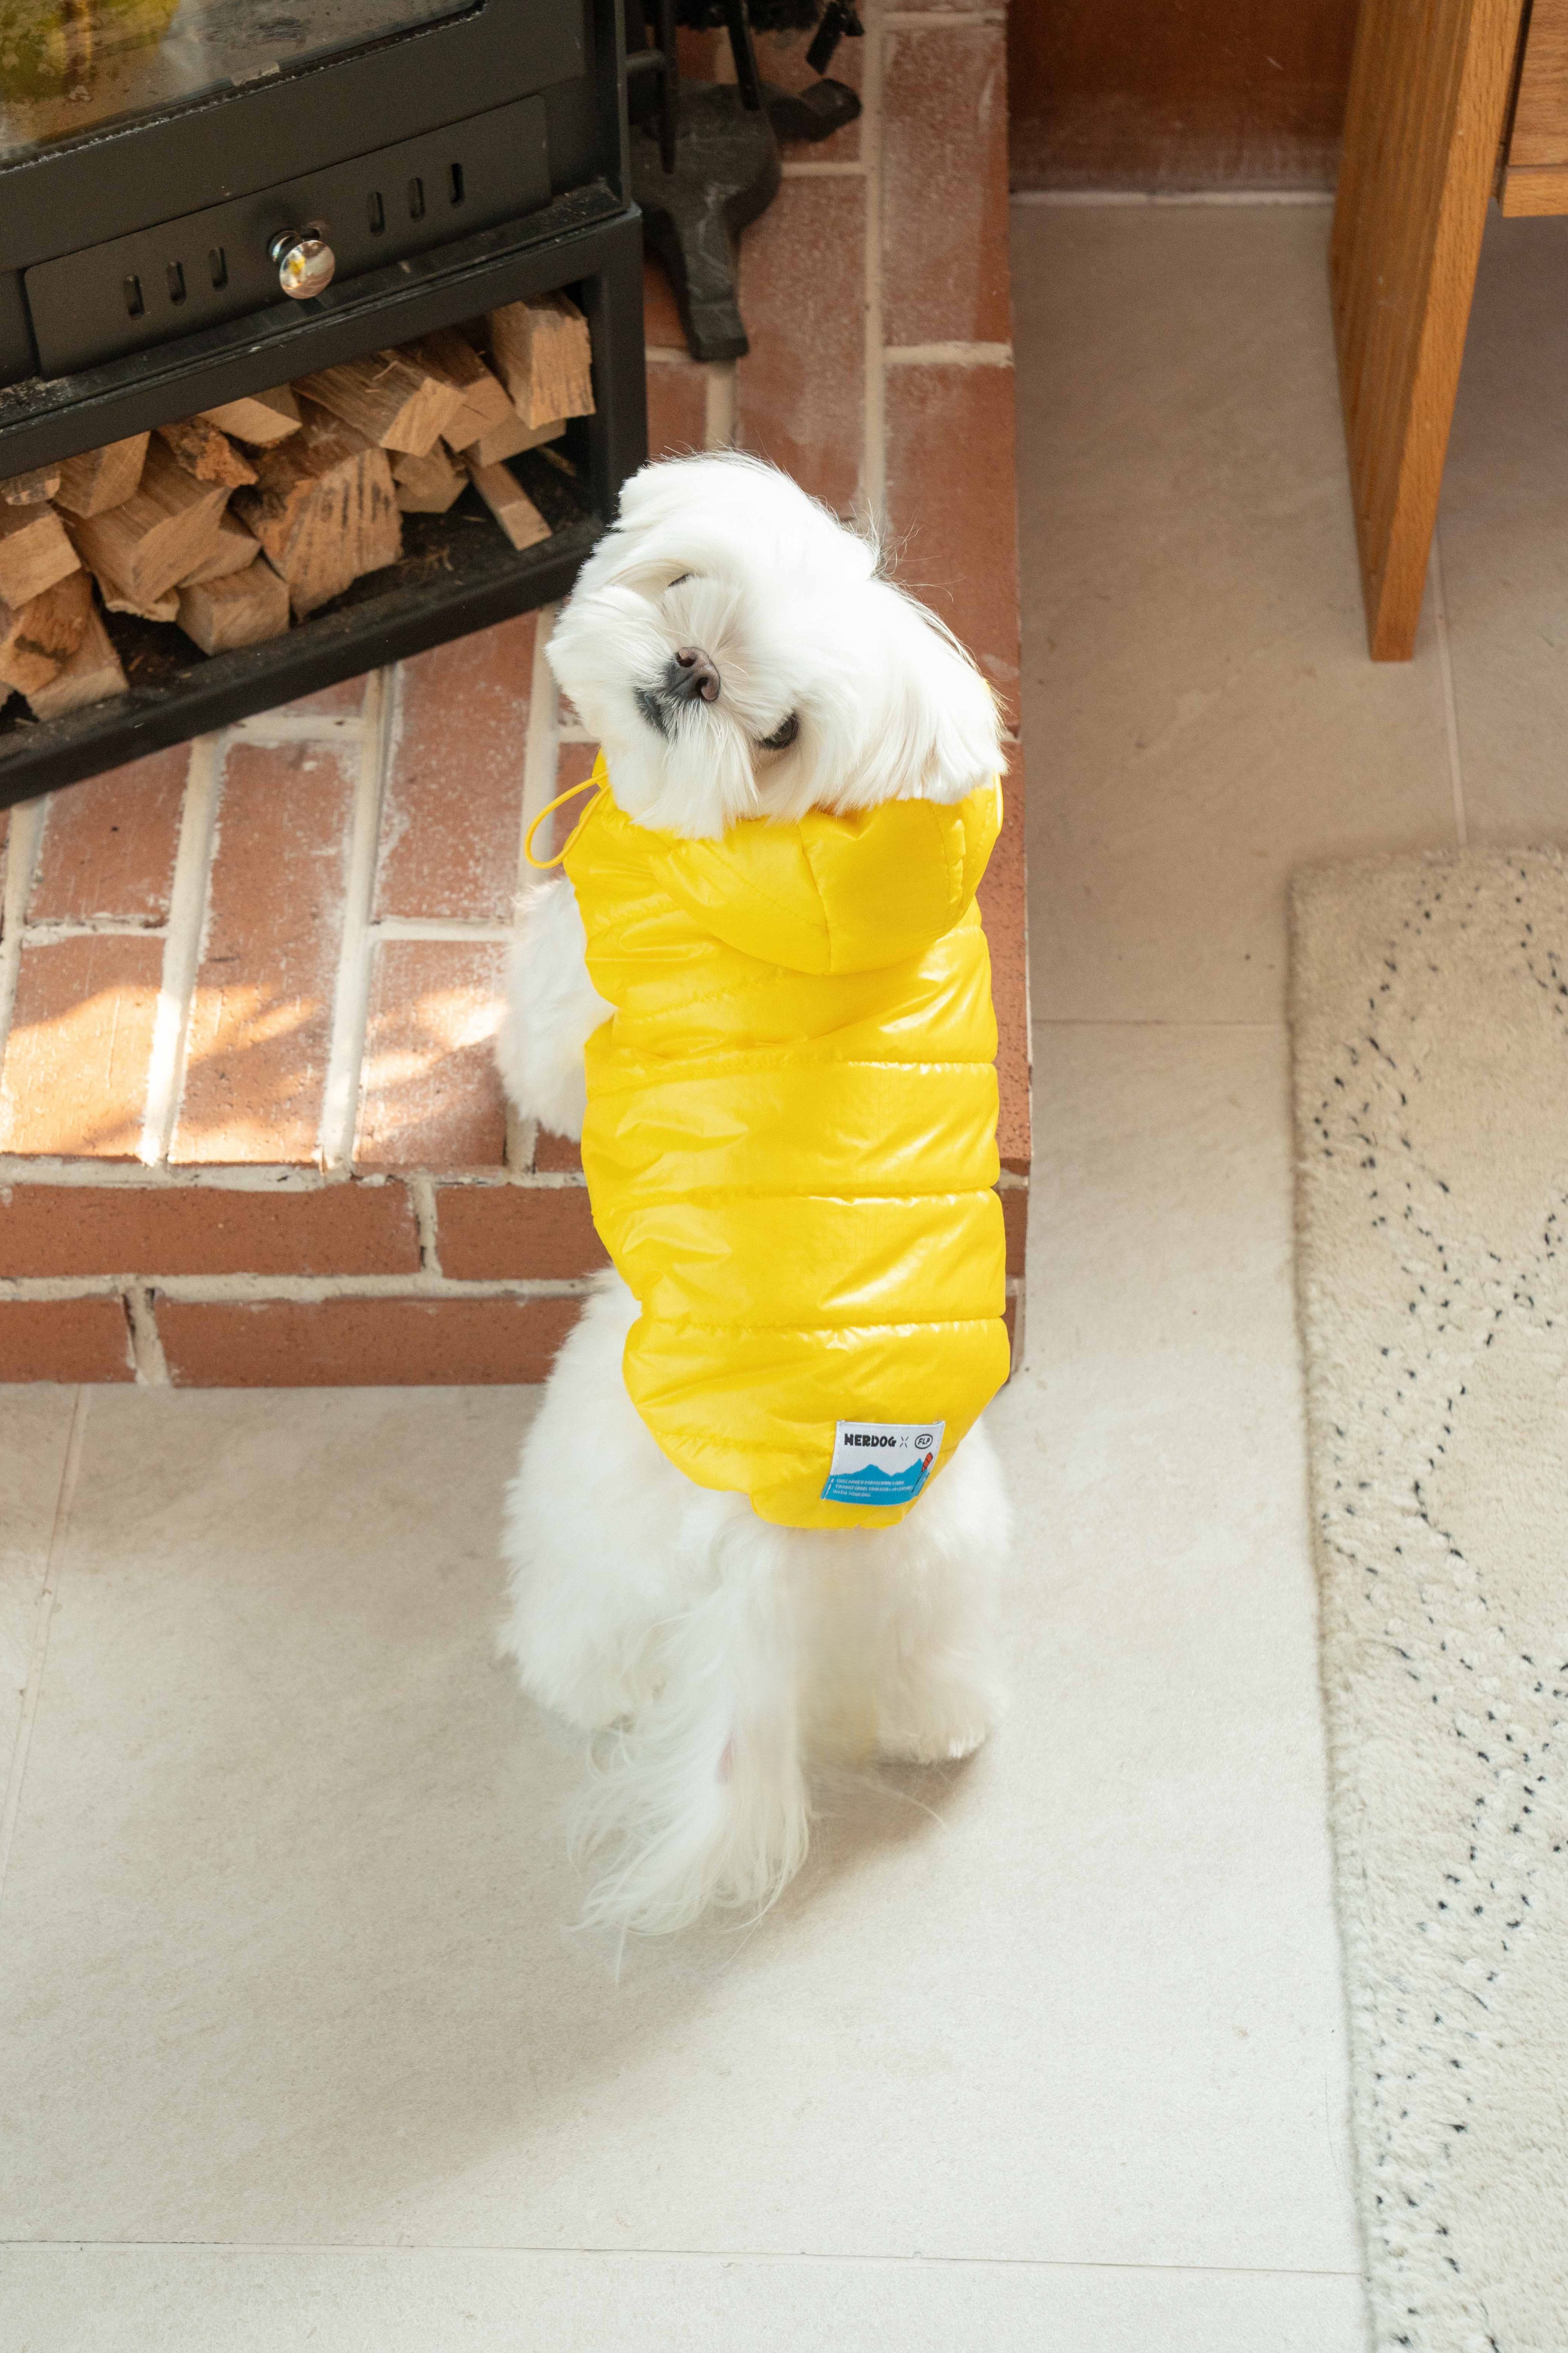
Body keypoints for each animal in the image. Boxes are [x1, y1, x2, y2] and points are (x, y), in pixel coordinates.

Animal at [496, 454, 1013, 1938]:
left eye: (778, 732)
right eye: (689, 587)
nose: (693, 669)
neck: (817, 862)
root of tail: (767, 1540)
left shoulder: (584, 960)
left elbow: (538, 1050)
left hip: (578, 1474)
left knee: (586, 1637)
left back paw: (556, 1672)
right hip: (945, 1551)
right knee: (931, 1665)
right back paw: (944, 1722)